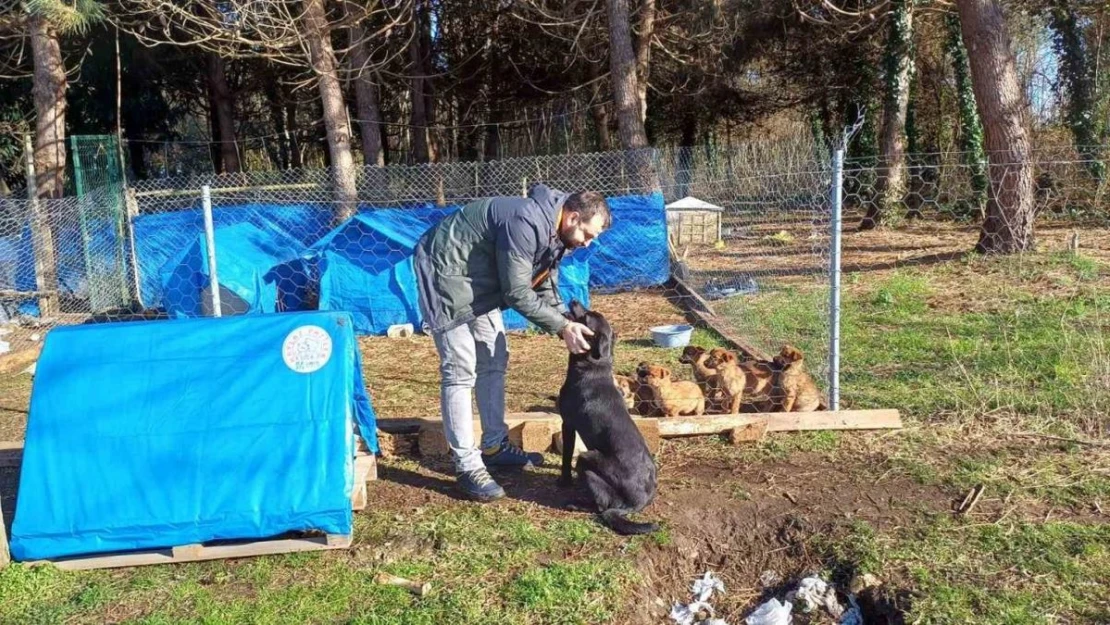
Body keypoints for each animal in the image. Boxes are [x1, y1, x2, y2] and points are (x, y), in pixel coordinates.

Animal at [555, 299, 657, 535]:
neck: (594, 366)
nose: (574, 300)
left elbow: (566, 457)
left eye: (587, 316)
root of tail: (634, 505)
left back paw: (577, 504)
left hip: (586, 459)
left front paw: (564, 481)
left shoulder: (568, 424)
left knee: (602, 506)